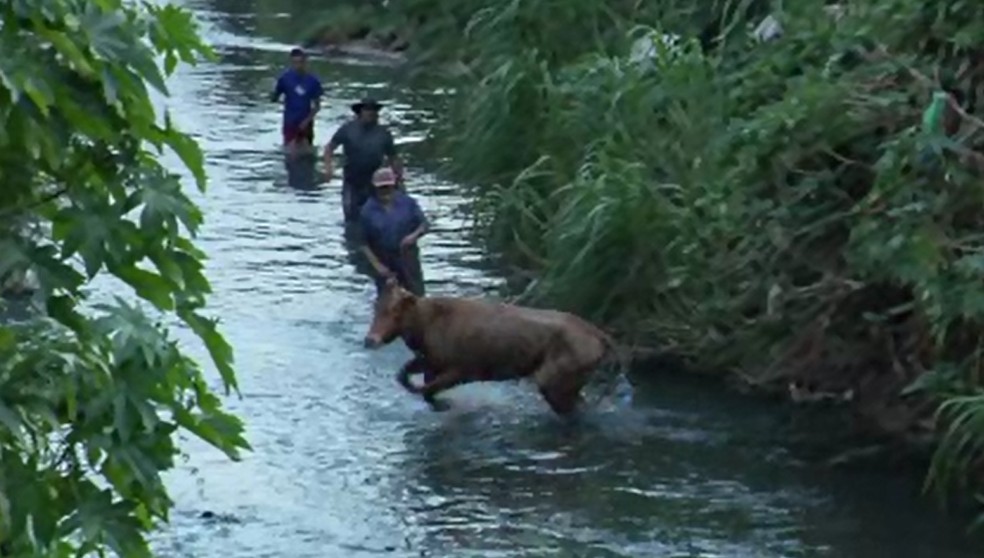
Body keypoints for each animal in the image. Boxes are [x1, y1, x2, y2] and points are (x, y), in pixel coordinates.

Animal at [362, 280, 624, 416]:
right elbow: (404, 375)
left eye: (395, 311)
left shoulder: (462, 369)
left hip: (553, 378)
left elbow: (426, 389)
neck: (426, 325)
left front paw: (444, 404)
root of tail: (600, 336)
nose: (370, 339)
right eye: (376, 307)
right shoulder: (431, 360)